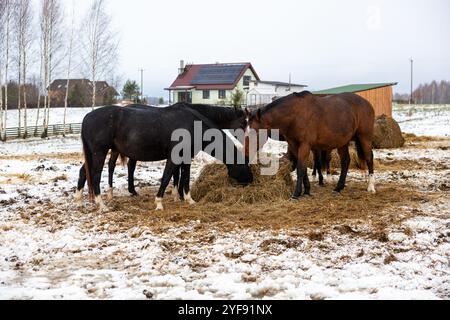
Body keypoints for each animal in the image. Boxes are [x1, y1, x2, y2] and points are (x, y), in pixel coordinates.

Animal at [75, 104, 251, 211]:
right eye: (244, 165)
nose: (250, 180)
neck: (191, 125)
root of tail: (87, 117)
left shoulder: (186, 158)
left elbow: (184, 178)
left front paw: (188, 199)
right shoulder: (174, 157)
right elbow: (167, 177)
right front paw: (160, 203)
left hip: (94, 154)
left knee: (84, 172)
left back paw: (79, 200)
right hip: (99, 152)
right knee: (96, 175)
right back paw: (102, 204)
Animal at [246, 91, 376, 199]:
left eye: (255, 132)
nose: (246, 153)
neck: (295, 114)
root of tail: (367, 103)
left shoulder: (305, 145)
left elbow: (301, 169)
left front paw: (296, 194)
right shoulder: (294, 145)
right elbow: (303, 169)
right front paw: (307, 190)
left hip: (365, 138)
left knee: (369, 158)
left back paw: (371, 187)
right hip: (343, 142)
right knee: (345, 161)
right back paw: (338, 188)